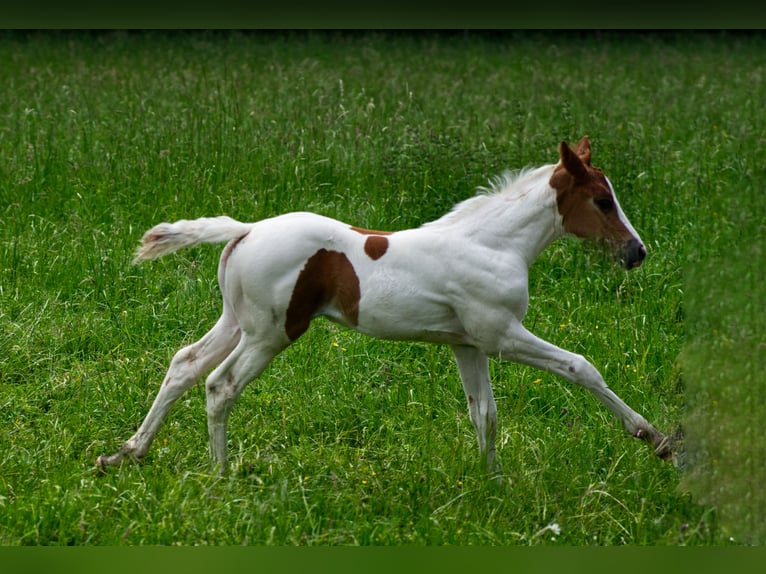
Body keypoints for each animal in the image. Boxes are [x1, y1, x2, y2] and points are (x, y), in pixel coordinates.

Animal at [99, 137, 676, 474]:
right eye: (602, 200)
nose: (637, 252)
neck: (493, 244)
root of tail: (246, 229)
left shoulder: (468, 344)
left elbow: (484, 414)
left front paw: (490, 483)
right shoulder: (501, 335)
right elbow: (581, 367)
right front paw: (657, 439)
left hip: (237, 322)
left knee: (184, 365)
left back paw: (125, 453)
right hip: (271, 333)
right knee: (220, 385)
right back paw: (221, 477)